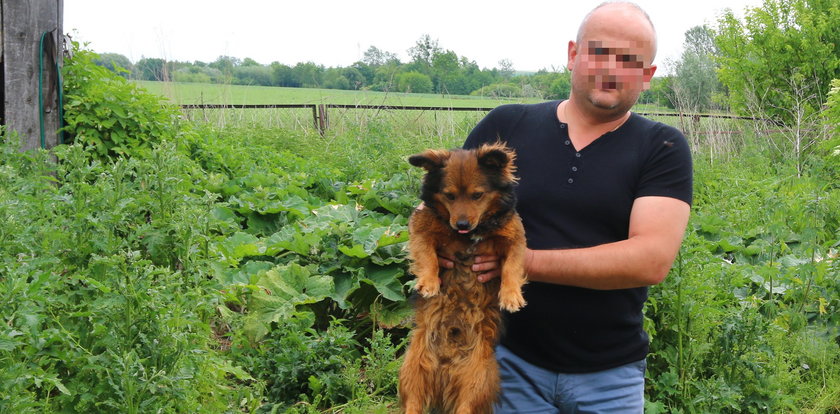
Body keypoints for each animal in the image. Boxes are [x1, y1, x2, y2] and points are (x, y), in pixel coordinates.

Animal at [398, 143, 524, 414]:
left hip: (477, 380)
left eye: (477, 195)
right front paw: (428, 282)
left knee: (465, 406)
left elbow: (512, 267)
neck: (471, 234)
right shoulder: (422, 227)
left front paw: (511, 296)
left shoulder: (515, 239)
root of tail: (447, 364)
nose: (462, 224)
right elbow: (427, 256)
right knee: (413, 402)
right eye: (450, 196)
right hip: (413, 369)